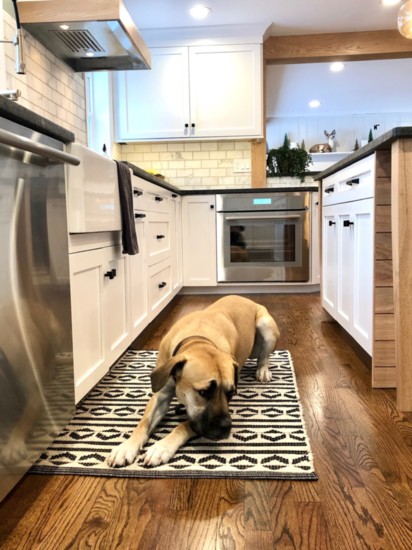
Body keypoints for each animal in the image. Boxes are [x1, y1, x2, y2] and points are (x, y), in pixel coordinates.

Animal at [106, 298, 280, 470]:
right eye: (203, 392)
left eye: (230, 393)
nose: (226, 427)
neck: (198, 340)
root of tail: (248, 300)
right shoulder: (161, 394)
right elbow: (144, 422)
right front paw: (126, 446)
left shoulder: (199, 419)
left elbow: (185, 424)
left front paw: (161, 447)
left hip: (265, 325)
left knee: (263, 356)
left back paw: (263, 370)